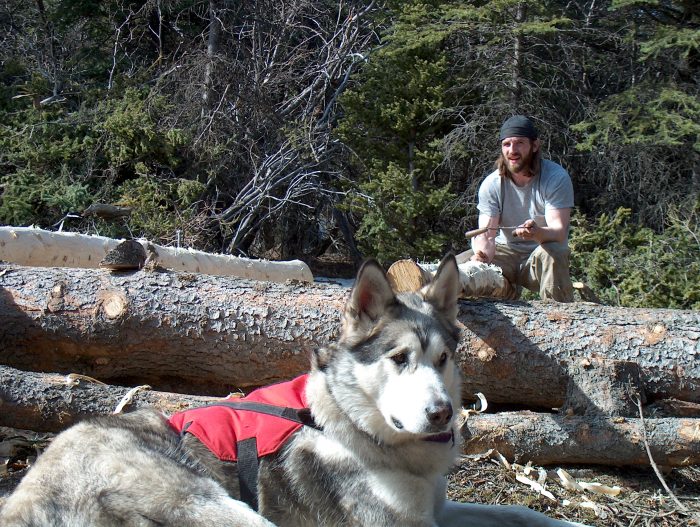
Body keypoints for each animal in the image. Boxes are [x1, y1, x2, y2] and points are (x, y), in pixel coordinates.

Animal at [1, 254, 584, 524]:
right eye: (399, 360)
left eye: (443, 359)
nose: (443, 415)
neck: (350, 427)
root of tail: (27, 494)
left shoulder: (436, 511)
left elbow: (523, 513)